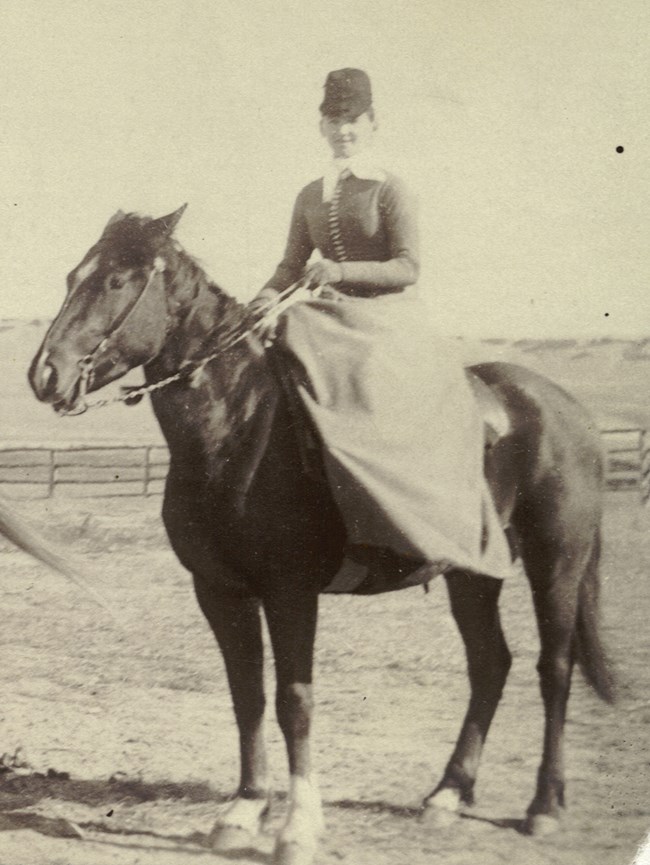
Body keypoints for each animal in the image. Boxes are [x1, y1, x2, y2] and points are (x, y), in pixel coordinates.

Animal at [26, 208, 612, 864]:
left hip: (556, 559)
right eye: (74, 275)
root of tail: (564, 407)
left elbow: (294, 700)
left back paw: (543, 807)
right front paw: (244, 810)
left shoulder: (290, 592)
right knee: (490, 664)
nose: (45, 374)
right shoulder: (220, 590)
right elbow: (248, 696)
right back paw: (447, 794)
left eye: (117, 282)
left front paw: (298, 827)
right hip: (471, 572)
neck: (240, 424)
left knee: (553, 668)